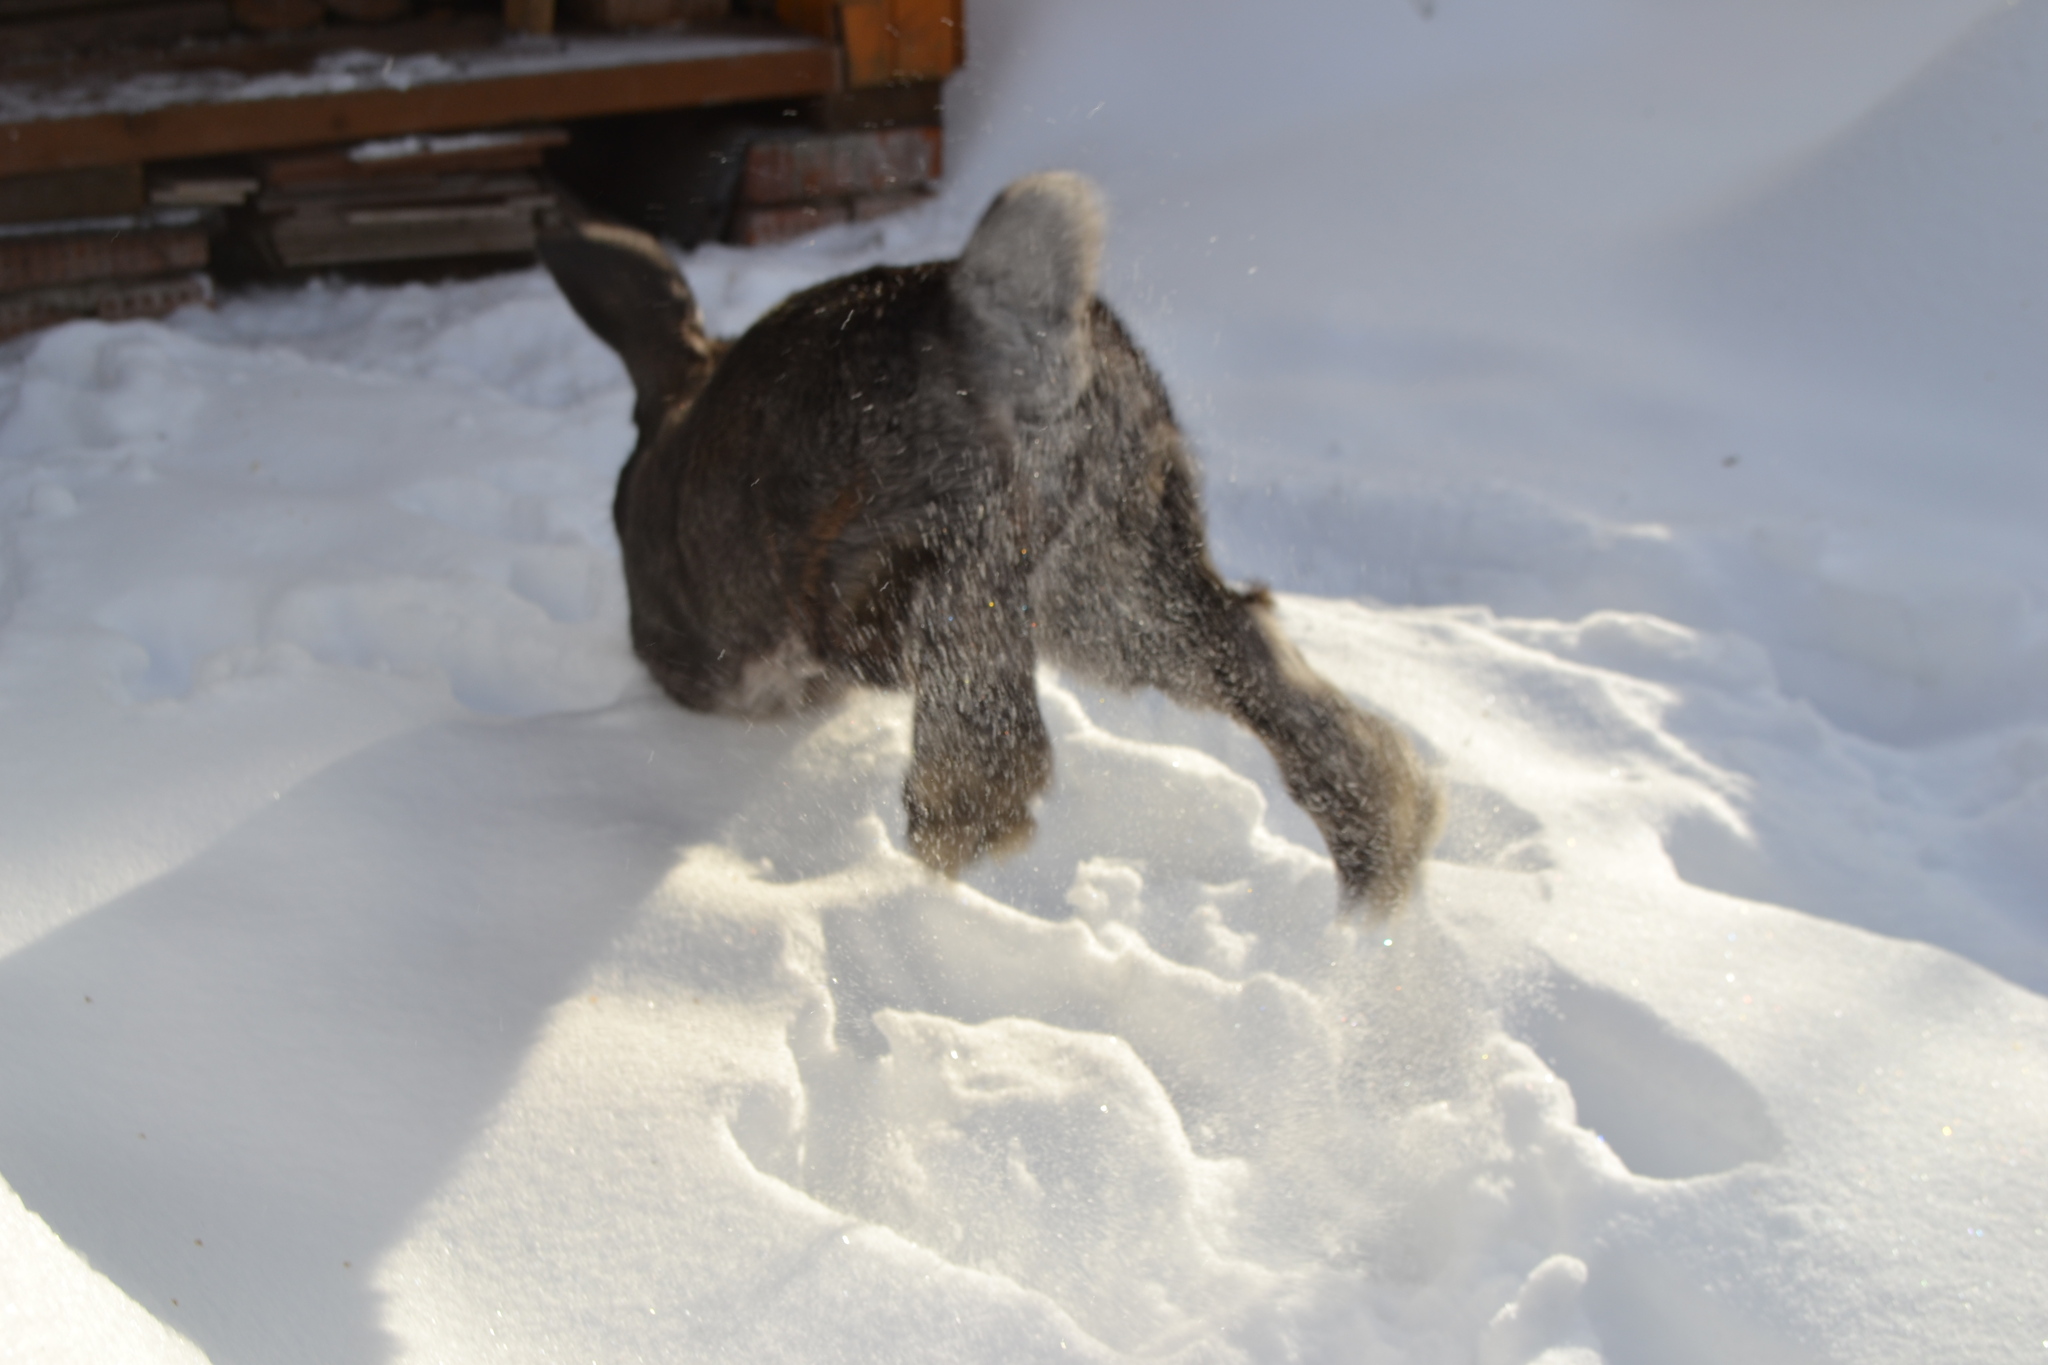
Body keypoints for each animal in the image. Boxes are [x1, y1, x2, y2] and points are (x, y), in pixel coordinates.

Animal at [544, 175, 1441, 912]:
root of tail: (1006, 321)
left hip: (923, 554)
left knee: (983, 711)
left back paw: (955, 844)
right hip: (1116, 581)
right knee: (1254, 655)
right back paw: (1383, 839)